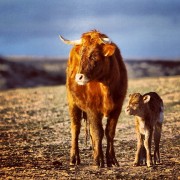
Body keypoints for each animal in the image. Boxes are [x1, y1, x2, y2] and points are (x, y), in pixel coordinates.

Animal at [59, 29, 127, 167]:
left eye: (94, 55)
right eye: (82, 54)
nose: (79, 77)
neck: (106, 86)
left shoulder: (117, 108)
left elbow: (110, 132)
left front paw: (111, 159)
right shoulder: (92, 109)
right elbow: (98, 132)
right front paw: (99, 160)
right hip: (72, 103)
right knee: (75, 128)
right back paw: (74, 158)